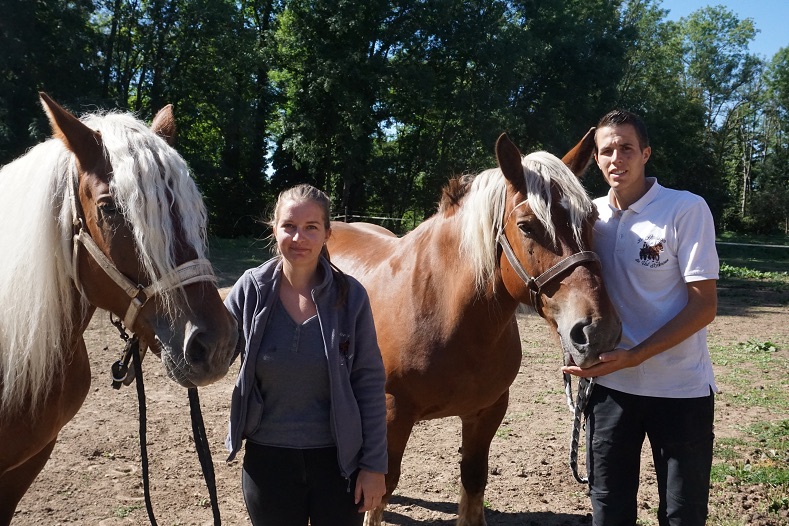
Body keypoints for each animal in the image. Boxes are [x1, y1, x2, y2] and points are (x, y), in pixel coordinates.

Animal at [326, 133, 620, 526]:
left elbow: (473, 479)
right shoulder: (391, 414)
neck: (444, 310)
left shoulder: (487, 412)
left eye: (591, 218)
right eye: (526, 225)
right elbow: (380, 490)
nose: (598, 330)